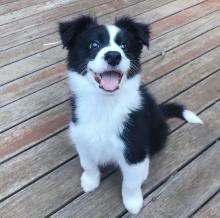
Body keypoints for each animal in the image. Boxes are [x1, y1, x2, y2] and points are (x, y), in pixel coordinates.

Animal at [58, 16, 203, 214]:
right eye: (94, 44)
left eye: (124, 46)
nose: (113, 56)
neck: (105, 106)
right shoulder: (82, 138)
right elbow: (88, 164)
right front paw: (90, 181)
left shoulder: (134, 148)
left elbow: (130, 183)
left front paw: (133, 203)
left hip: (157, 134)